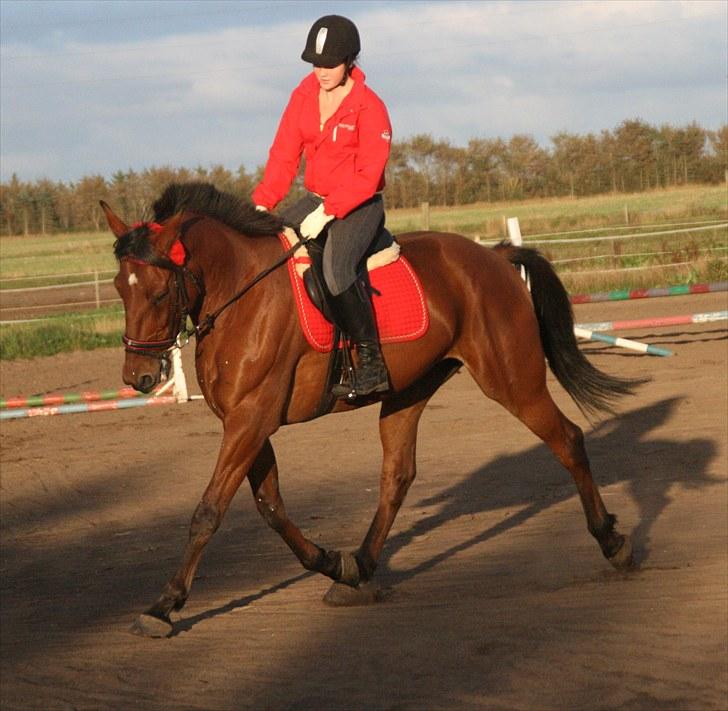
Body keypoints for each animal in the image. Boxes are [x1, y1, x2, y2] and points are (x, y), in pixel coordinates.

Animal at [101, 184, 636, 640]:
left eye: (158, 292)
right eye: (119, 288)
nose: (139, 377)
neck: (242, 295)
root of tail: (493, 257)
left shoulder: (250, 420)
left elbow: (209, 511)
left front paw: (164, 605)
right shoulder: (247, 422)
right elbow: (271, 506)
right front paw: (330, 561)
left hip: (512, 380)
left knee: (567, 439)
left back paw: (613, 542)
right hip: (408, 392)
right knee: (397, 475)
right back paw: (358, 568)